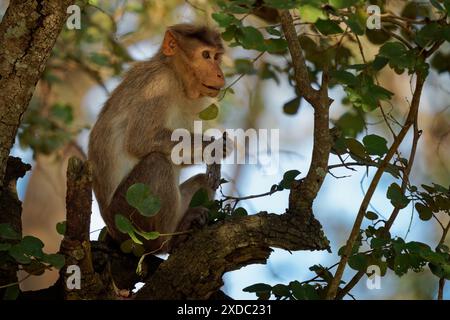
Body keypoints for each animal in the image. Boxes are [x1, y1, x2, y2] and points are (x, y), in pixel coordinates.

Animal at [88, 24, 229, 252]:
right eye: (206, 55)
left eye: (217, 57)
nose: (219, 73)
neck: (176, 75)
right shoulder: (159, 83)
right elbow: (141, 140)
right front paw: (215, 147)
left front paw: (213, 158)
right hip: (128, 218)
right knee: (157, 162)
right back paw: (168, 240)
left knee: (201, 180)